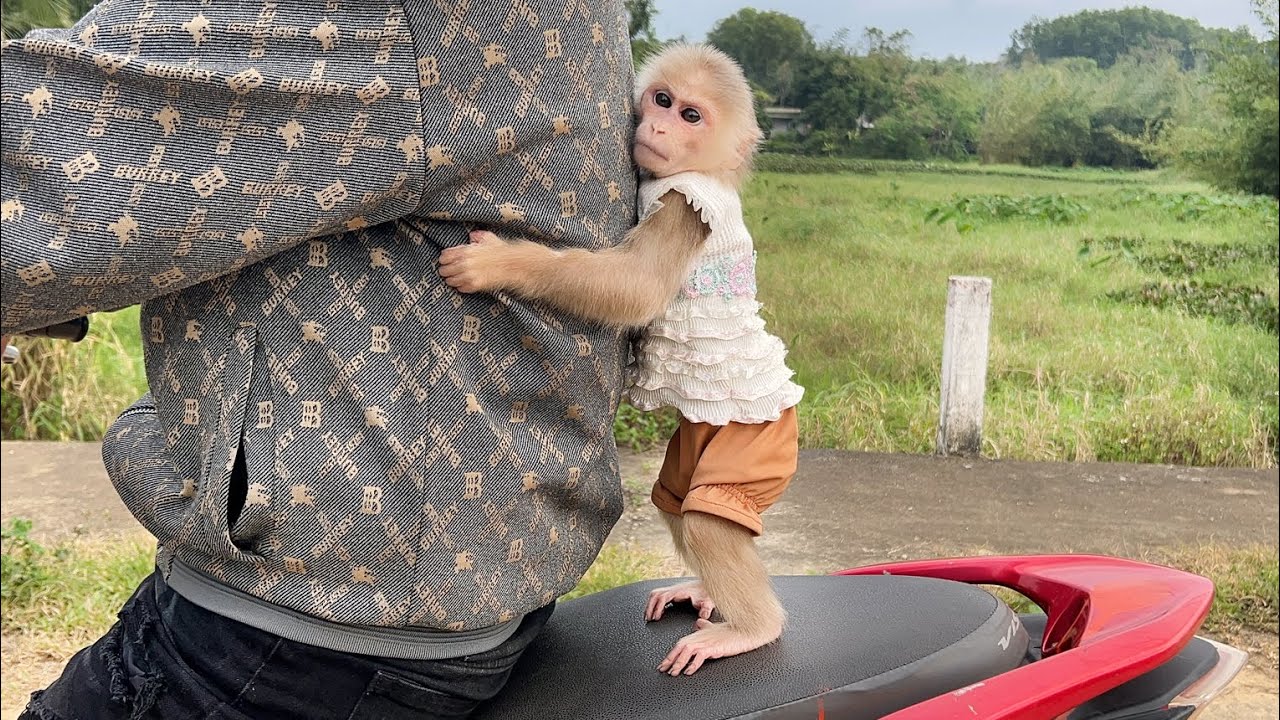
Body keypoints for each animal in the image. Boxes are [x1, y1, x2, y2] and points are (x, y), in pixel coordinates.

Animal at [438, 44, 803, 676]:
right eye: (662, 99)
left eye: (691, 116)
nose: (657, 125)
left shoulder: (685, 205)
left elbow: (636, 289)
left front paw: (500, 265)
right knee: (678, 505)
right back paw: (707, 593)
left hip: (758, 438)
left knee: (706, 519)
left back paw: (751, 629)